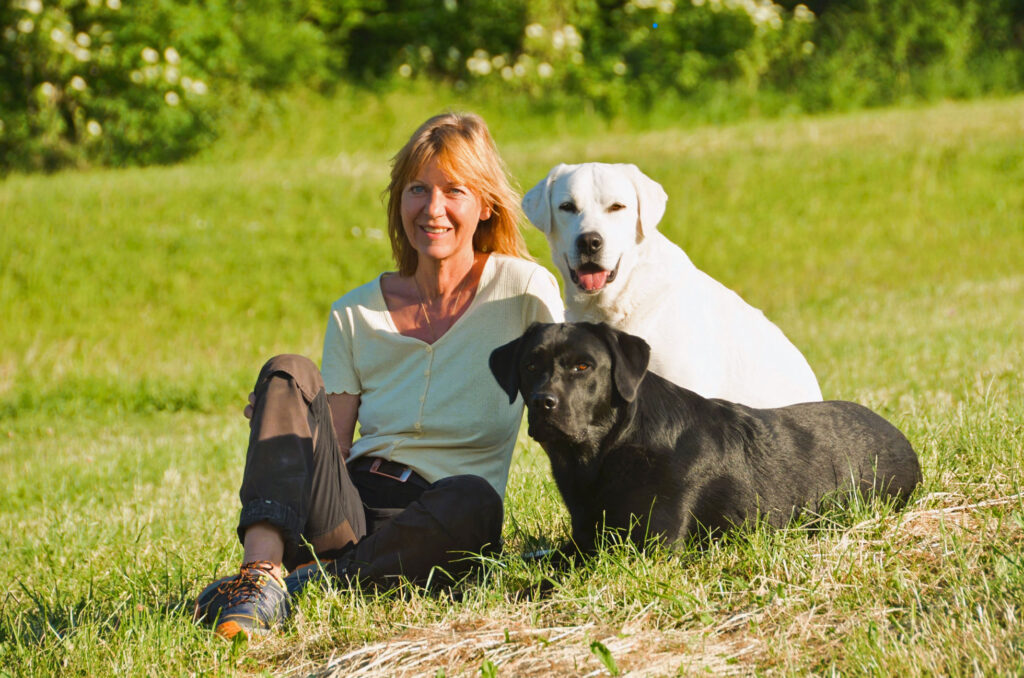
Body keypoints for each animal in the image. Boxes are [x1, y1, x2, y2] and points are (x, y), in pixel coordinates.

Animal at [487, 321, 921, 557]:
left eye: (583, 366)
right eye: (530, 365)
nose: (543, 402)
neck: (606, 453)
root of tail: (902, 439)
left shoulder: (650, 546)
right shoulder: (582, 539)